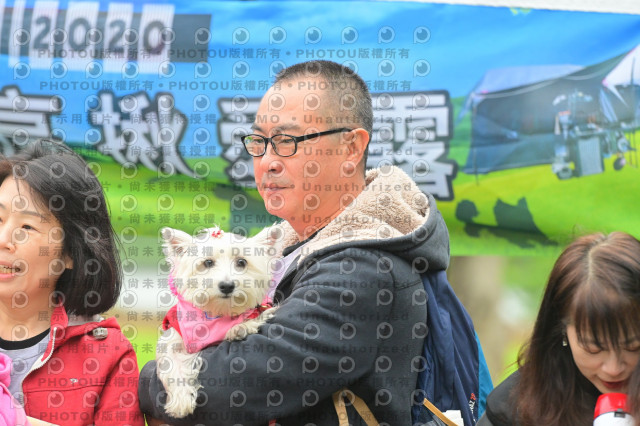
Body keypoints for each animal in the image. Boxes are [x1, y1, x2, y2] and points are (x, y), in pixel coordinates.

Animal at [156, 226, 279, 418]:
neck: (218, 313)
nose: (227, 285)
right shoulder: (176, 334)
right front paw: (181, 401)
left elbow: (257, 314)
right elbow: (171, 361)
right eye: (207, 263)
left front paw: (240, 327)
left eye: (242, 262)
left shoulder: (261, 308)